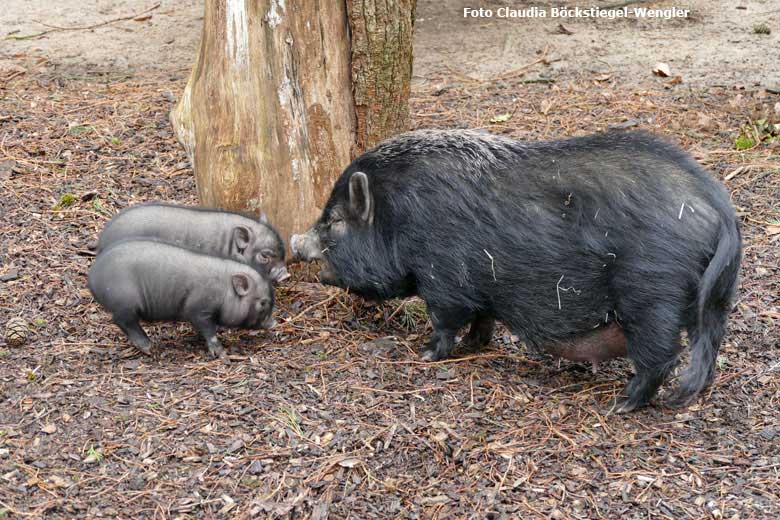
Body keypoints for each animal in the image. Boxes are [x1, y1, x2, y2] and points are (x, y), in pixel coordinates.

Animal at [87, 240, 276, 358]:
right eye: (263, 302)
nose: (273, 323)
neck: (224, 290)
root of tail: (92, 278)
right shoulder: (198, 309)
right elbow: (208, 330)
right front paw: (221, 353)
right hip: (125, 304)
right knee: (123, 321)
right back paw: (149, 347)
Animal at [290, 129, 736, 410]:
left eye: (335, 221)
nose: (296, 242)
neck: (398, 217)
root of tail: (719, 209)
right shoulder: (480, 290)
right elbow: (483, 319)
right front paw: (475, 346)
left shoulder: (443, 279)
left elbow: (444, 321)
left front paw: (426, 354)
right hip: (713, 297)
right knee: (708, 345)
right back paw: (686, 395)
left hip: (651, 294)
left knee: (661, 356)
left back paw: (620, 405)